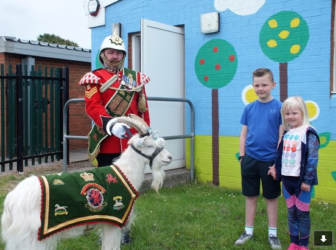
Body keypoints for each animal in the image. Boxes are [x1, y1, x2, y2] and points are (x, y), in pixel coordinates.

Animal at [0, 115, 173, 250]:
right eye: (149, 145)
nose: (169, 157)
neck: (125, 173)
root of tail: (10, 200)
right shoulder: (113, 221)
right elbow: (111, 247)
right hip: (30, 238)